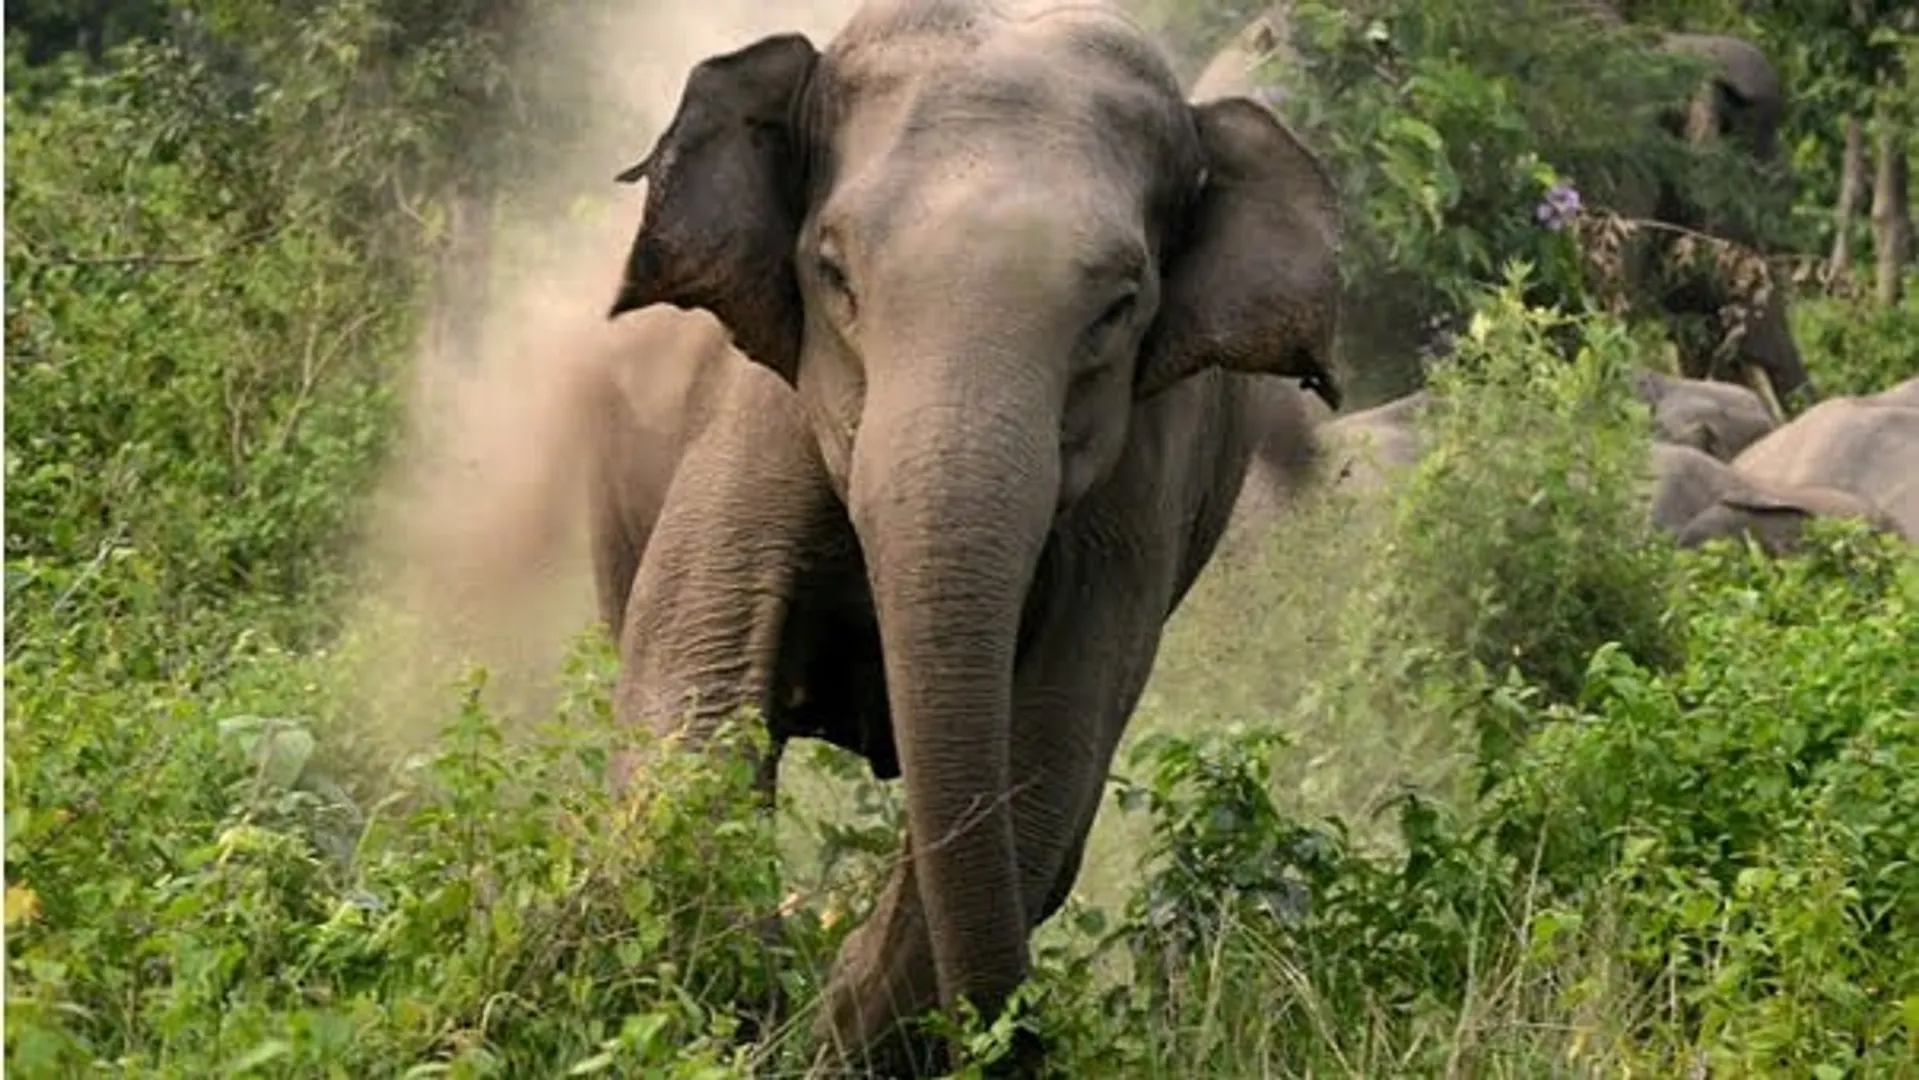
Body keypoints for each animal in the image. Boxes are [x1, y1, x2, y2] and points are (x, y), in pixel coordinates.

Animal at [599, 0, 1340, 1071]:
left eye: (1118, 308)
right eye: (833, 273)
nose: (1023, 1043)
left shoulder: (1136, 494)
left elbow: (1045, 765)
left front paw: (823, 1034)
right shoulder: (756, 410)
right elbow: (691, 691)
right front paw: (748, 1016)